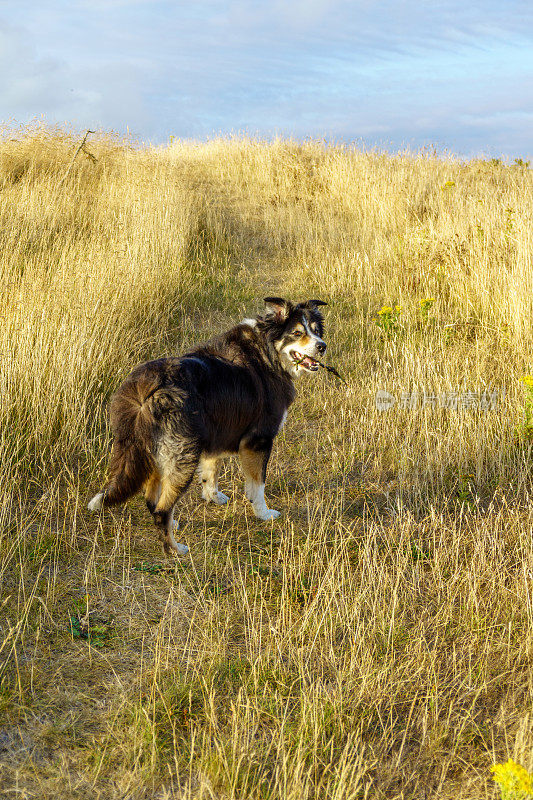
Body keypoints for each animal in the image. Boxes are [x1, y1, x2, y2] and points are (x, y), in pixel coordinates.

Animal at [88, 296, 324, 552]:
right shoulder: (258, 440)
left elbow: (211, 470)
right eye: (297, 333)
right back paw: (174, 548)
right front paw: (263, 513)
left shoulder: (218, 431)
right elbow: (257, 484)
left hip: (156, 454)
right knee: (162, 510)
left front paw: (213, 496)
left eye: (316, 330)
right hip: (182, 457)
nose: (322, 346)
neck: (267, 351)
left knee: (152, 500)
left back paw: (173, 526)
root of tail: (144, 392)